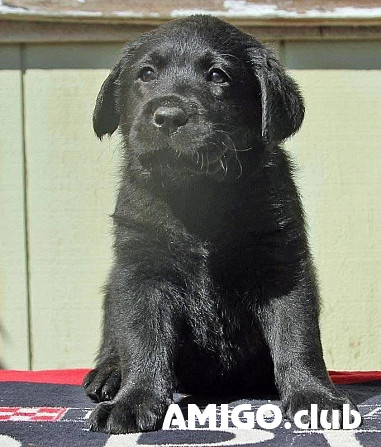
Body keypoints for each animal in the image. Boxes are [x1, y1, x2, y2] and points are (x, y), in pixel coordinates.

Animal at [83, 14, 354, 434]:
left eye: (218, 76)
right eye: (146, 74)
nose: (168, 116)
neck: (198, 196)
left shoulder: (282, 266)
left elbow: (298, 336)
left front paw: (314, 396)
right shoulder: (142, 272)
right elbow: (143, 340)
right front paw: (134, 399)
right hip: (114, 287)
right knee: (116, 337)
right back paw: (108, 374)